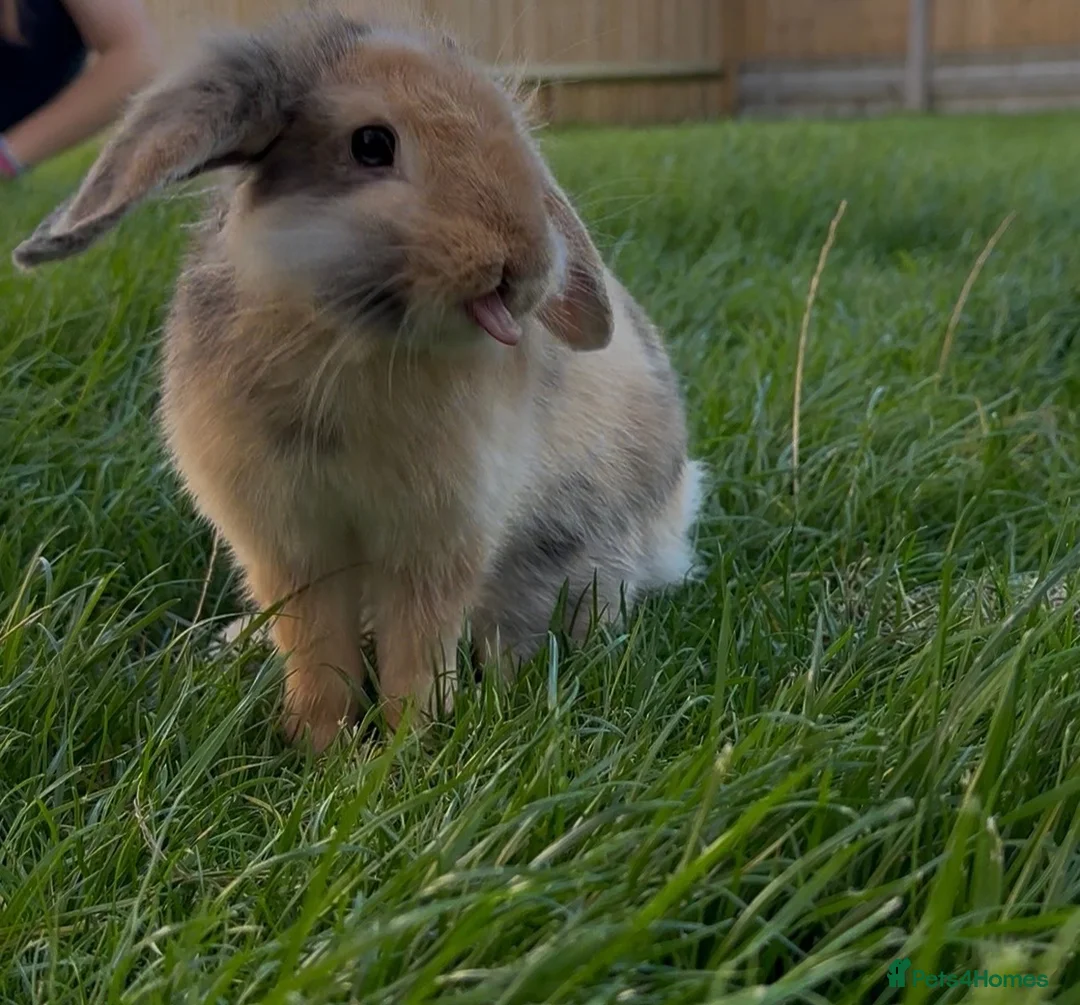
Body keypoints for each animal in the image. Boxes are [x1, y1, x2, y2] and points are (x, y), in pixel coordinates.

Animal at [13, 7, 705, 752]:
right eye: (372, 143)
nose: (522, 261)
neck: (350, 344)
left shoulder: (438, 540)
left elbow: (418, 648)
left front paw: (408, 748)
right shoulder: (289, 545)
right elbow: (316, 645)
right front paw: (323, 745)